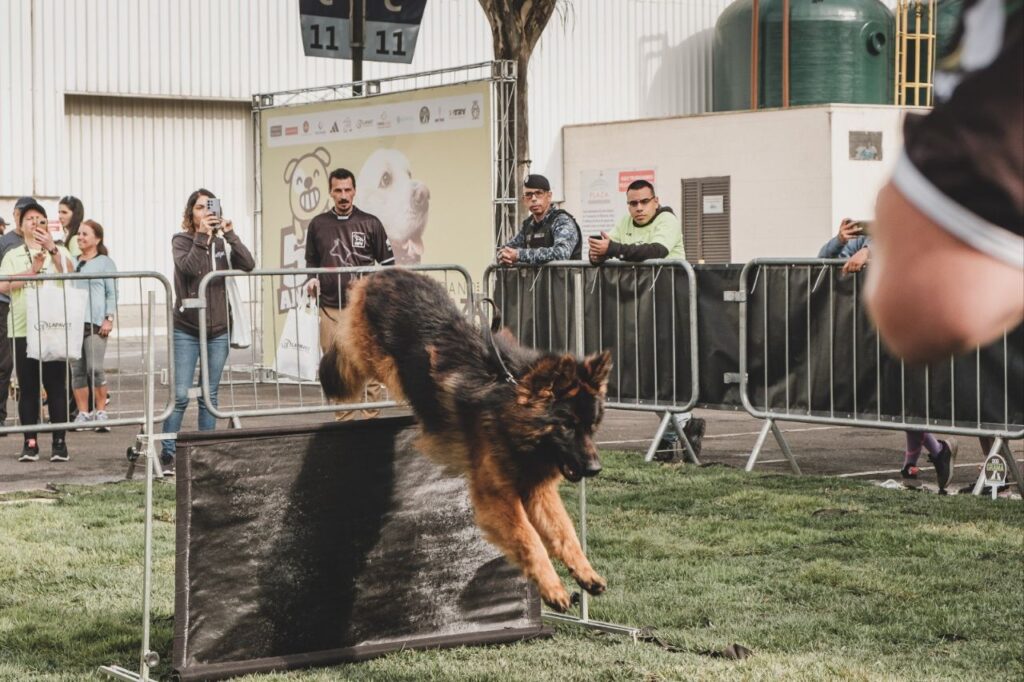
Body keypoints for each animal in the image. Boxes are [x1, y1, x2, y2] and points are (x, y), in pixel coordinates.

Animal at [319, 266, 606, 610]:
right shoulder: (498, 497)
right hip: (368, 355)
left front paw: (585, 572)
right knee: (344, 356)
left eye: (591, 426)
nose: (595, 469)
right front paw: (552, 587)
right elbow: (530, 538)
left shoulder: (537, 491)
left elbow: (565, 531)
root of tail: (385, 272)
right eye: (566, 426)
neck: (506, 400)